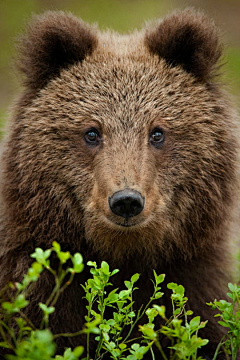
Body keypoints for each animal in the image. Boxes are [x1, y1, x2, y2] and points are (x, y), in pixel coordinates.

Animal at [0, 7, 239, 358]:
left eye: (157, 132)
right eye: (91, 132)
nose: (126, 200)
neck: (124, 254)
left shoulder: (194, 274)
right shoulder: (32, 282)